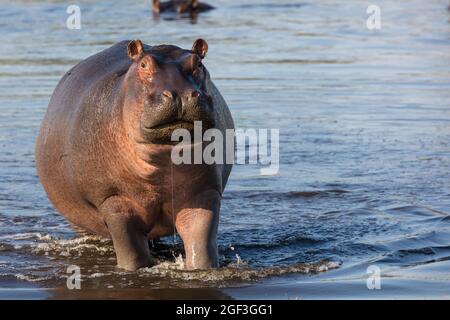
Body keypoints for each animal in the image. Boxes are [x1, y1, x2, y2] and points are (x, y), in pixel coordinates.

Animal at [35, 38, 234, 272]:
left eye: (199, 64)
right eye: (144, 65)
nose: (181, 94)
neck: (163, 163)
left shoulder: (205, 191)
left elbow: (201, 242)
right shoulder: (113, 199)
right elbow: (132, 252)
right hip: (78, 219)